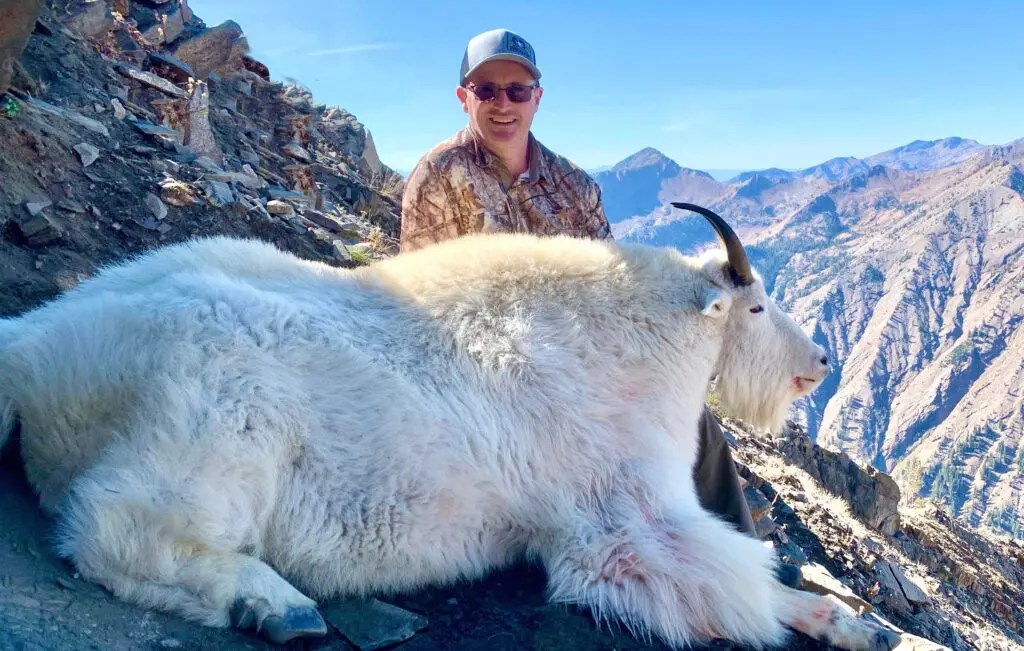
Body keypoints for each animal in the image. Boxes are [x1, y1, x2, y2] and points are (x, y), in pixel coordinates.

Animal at [0, 204, 899, 650]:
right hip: (210, 435)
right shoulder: (626, 526)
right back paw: (278, 605)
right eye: (756, 306)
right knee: (117, 529)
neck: (637, 342)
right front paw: (848, 622)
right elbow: (745, 585)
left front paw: (852, 621)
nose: (821, 360)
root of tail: (38, 345)